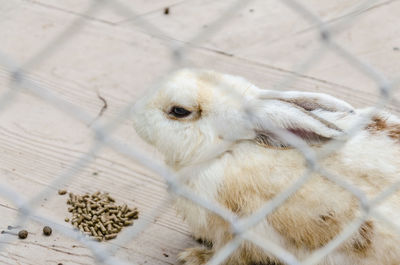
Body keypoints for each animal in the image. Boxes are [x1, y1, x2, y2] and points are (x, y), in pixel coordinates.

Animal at [131, 68, 400, 264]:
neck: (227, 151)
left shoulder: (241, 234)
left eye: (179, 111)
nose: (137, 112)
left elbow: (231, 256)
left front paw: (195, 257)